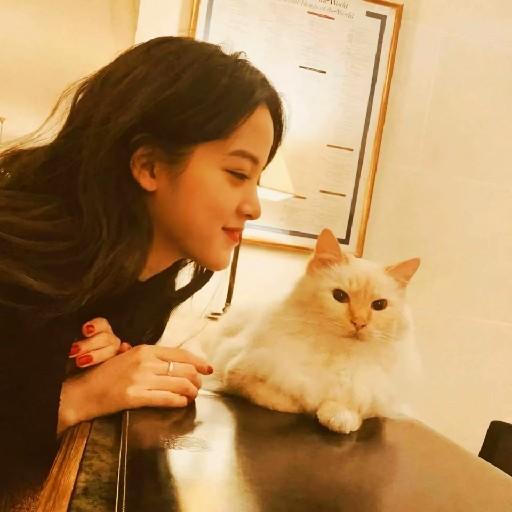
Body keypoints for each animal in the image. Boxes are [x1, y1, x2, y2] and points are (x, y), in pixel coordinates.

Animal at [198, 228, 420, 434]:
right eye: (339, 296)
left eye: (379, 305)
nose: (359, 323)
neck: (336, 355)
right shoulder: (237, 373)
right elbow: (287, 399)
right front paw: (308, 407)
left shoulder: (375, 399)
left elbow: (351, 409)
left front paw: (339, 418)